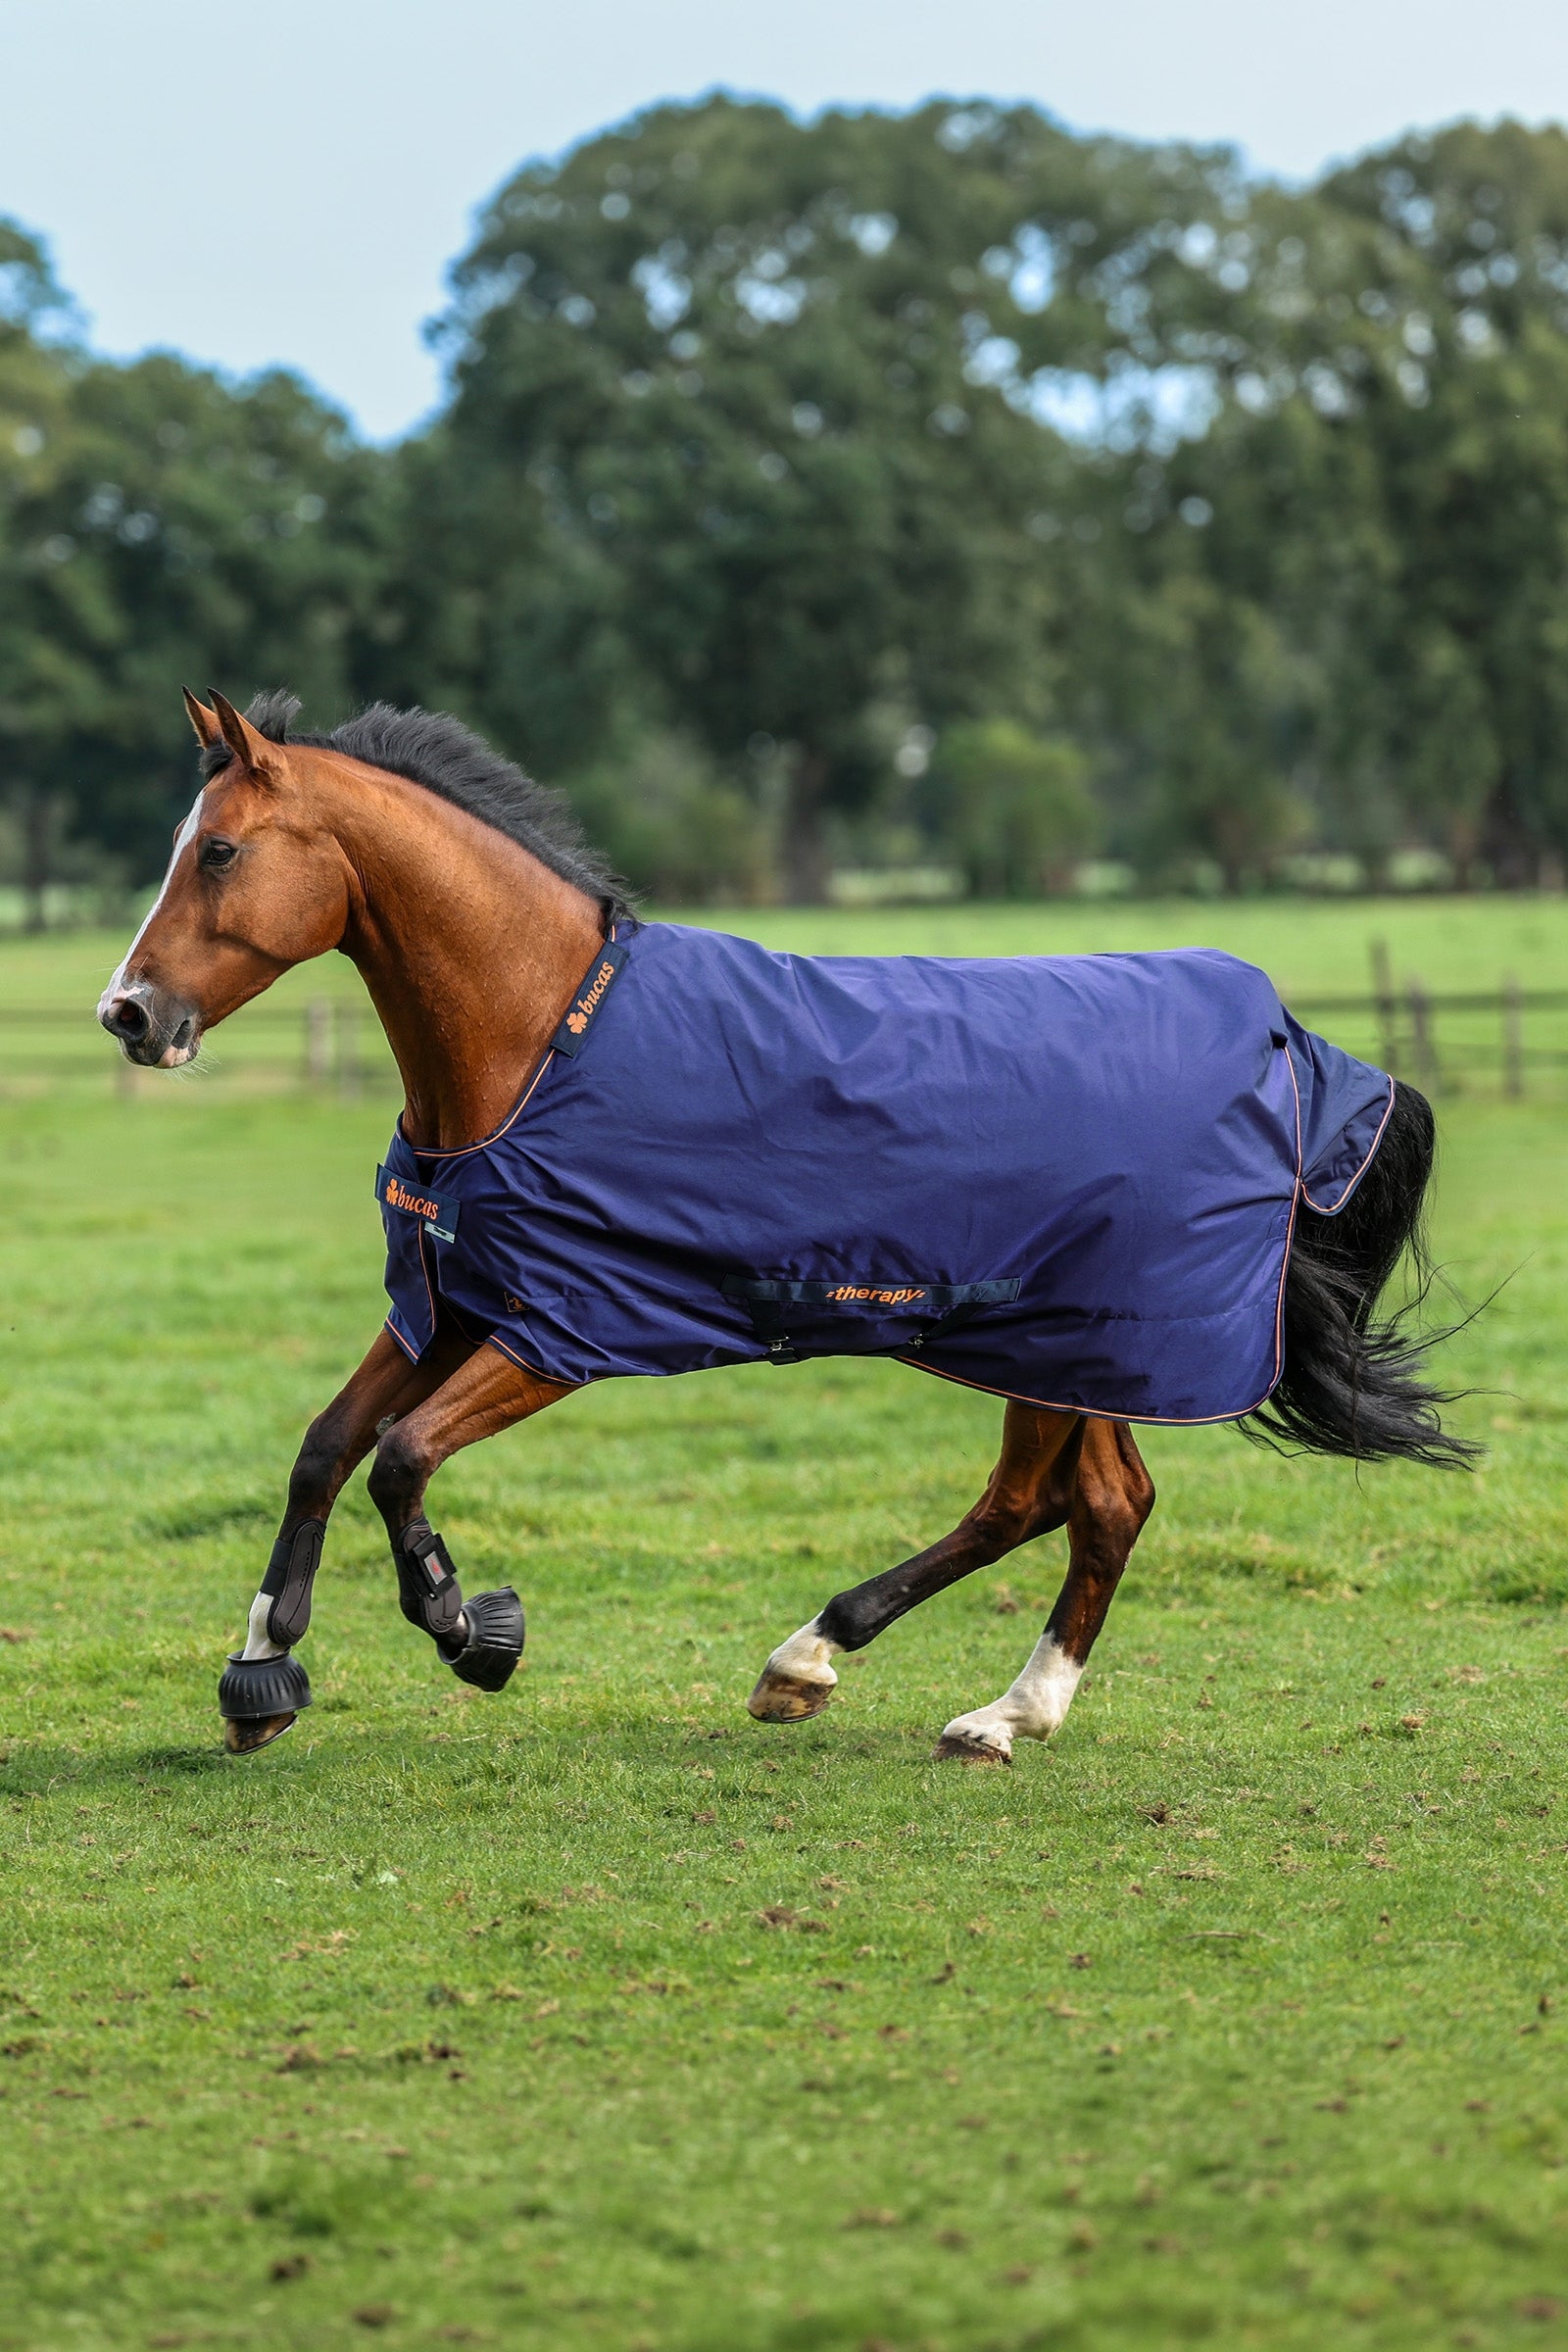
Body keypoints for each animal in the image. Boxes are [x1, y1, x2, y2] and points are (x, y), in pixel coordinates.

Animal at [99, 688, 1471, 1759]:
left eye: (219, 853)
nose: (129, 1014)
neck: (540, 1041)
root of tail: (1285, 1042)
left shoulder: (561, 1329)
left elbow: (400, 1460)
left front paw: (472, 1631)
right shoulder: (451, 1303)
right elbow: (326, 1448)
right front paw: (261, 1669)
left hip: (1080, 1340)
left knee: (1069, 1506)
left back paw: (964, 1703)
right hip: (1064, 1348)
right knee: (1074, 1501)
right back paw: (876, 1675)